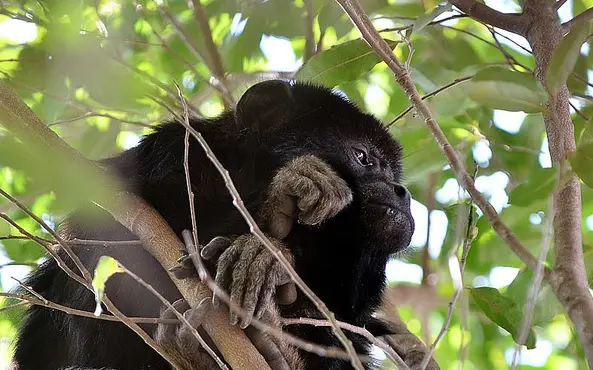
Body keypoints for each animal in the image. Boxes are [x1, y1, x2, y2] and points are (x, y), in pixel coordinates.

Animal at [11, 79, 414, 368]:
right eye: (363, 157)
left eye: (394, 171)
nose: (402, 192)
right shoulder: (175, 151)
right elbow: (110, 240)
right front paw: (286, 194)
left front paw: (267, 253)